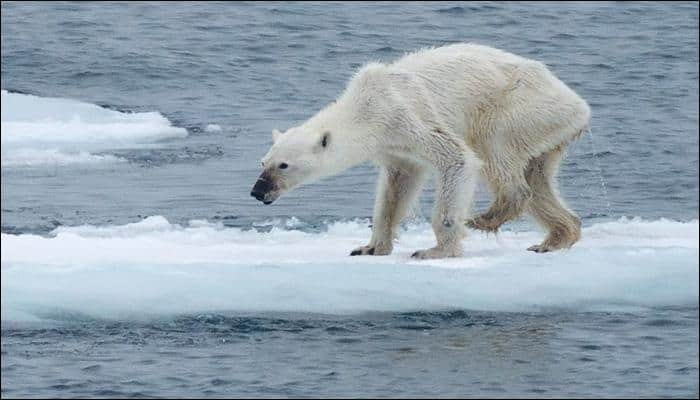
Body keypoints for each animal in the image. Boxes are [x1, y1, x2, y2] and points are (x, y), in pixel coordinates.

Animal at [252, 42, 592, 258]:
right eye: (263, 161)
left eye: (283, 165)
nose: (258, 191)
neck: (366, 106)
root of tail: (579, 106)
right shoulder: (394, 146)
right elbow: (396, 187)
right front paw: (370, 247)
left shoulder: (405, 116)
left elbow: (457, 158)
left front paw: (436, 250)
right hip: (548, 130)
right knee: (539, 178)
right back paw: (555, 237)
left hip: (521, 107)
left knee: (494, 147)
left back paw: (487, 217)